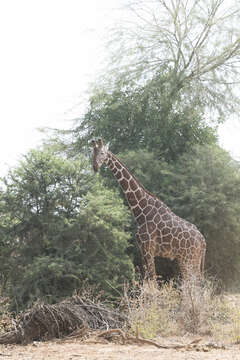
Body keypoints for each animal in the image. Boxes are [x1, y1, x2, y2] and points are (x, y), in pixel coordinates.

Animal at [92, 139, 206, 280]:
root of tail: (203, 241)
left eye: (102, 152)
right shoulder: (142, 249)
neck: (141, 210)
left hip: (189, 259)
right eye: (93, 152)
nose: (95, 166)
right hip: (189, 259)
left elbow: (152, 279)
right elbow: (146, 278)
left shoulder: (149, 248)